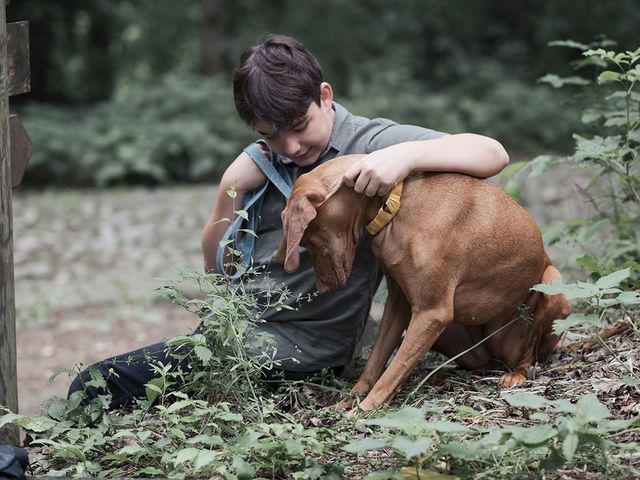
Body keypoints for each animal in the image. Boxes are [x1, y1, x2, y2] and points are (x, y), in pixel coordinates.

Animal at [276, 156, 568, 410]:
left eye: (308, 240)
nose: (324, 289)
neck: (396, 207)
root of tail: (496, 358)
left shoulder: (432, 313)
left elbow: (390, 374)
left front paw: (363, 411)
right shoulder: (399, 306)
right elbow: (375, 365)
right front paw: (346, 403)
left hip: (552, 283)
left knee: (530, 353)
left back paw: (517, 374)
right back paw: (442, 374)